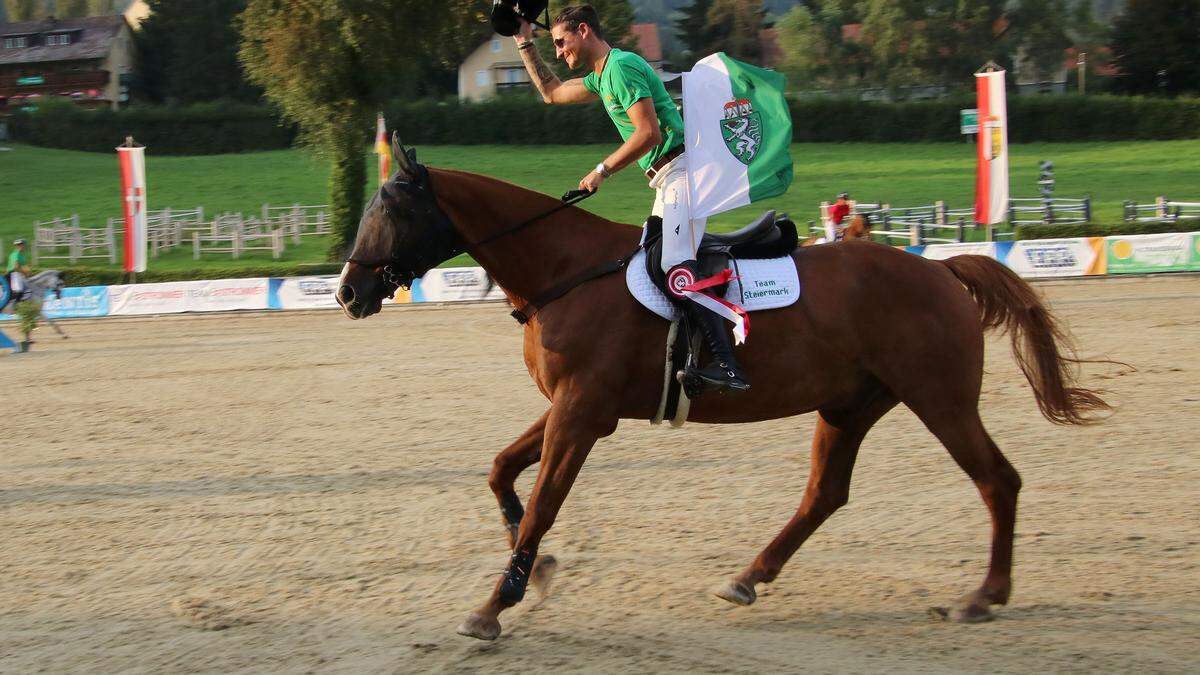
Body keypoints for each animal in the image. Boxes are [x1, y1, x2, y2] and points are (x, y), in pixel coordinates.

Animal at [336, 140, 1104, 634]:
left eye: (389, 213)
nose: (346, 291)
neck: (565, 270)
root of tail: (941, 269)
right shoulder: (573, 408)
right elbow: (502, 473)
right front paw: (536, 569)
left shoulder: (581, 414)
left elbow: (543, 505)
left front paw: (497, 603)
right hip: (850, 405)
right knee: (826, 494)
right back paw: (748, 576)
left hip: (939, 399)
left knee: (997, 480)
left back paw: (984, 595)